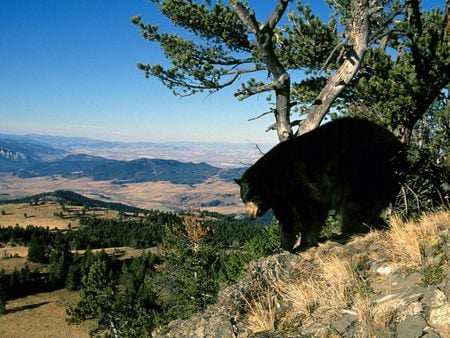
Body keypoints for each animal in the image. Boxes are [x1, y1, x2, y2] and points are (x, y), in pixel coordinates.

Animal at [236, 117, 404, 252]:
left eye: (252, 198)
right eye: (244, 200)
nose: (249, 216)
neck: (272, 178)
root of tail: (397, 146)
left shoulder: (296, 180)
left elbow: (311, 206)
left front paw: (303, 245)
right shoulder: (280, 198)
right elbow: (288, 218)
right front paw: (283, 247)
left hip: (362, 165)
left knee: (358, 201)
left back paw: (345, 235)